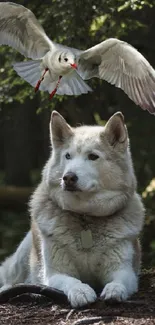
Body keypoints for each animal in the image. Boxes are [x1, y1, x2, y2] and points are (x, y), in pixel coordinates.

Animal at [0, 110, 145, 306]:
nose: (68, 177)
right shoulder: (55, 274)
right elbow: (72, 281)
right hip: (21, 258)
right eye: (68, 156)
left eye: (93, 156)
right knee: (11, 279)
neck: (85, 217)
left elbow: (119, 282)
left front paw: (114, 290)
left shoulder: (124, 270)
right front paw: (81, 291)